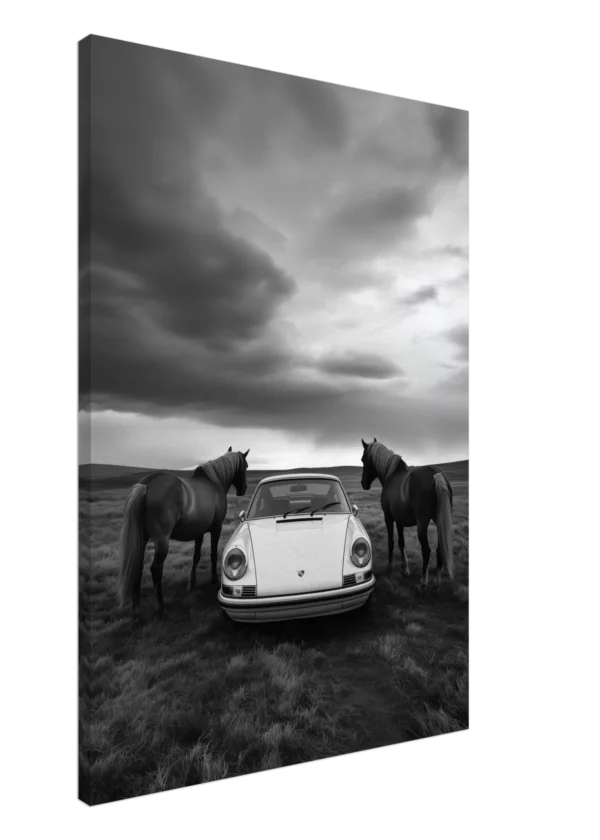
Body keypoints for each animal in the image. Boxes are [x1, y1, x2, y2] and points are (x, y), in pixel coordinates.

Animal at [117, 446, 250, 621]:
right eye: (245, 466)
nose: (243, 489)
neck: (214, 484)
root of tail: (147, 484)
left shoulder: (199, 531)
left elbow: (196, 556)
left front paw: (191, 583)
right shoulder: (216, 528)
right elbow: (213, 554)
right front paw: (214, 579)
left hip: (142, 538)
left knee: (137, 568)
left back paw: (136, 610)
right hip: (162, 541)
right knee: (156, 569)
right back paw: (161, 607)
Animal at [360, 438, 454, 594]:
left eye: (363, 459)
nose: (363, 483)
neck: (391, 476)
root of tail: (435, 474)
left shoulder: (388, 517)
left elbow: (391, 542)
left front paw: (390, 567)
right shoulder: (399, 520)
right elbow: (401, 542)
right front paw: (405, 569)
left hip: (422, 524)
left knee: (427, 550)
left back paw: (423, 584)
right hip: (440, 521)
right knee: (440, 549)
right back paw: (437, 584)